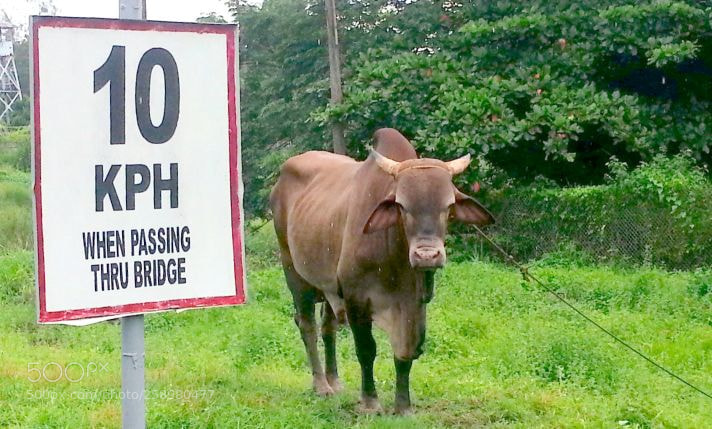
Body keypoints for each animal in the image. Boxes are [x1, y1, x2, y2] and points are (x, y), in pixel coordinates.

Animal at [269, 128, 494, 414]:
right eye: (402, 205)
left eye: (448, 206)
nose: (426, 255)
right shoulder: (356, 299)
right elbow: (367, 350)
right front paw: (370, 402)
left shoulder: (414, 305)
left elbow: (406, 353)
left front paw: (403, 407)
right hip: (294, 273)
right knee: (307, 325)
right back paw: (321, 385)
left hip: (329, 286)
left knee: (328, 327)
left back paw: (335, 381)